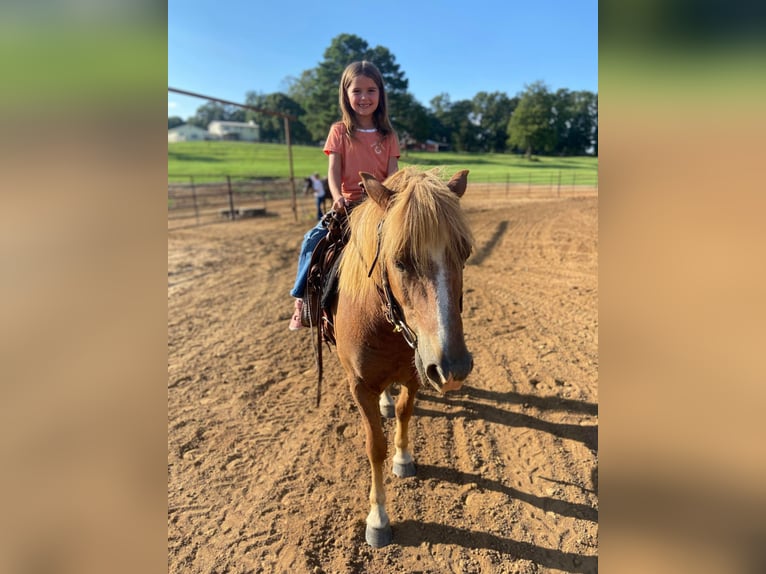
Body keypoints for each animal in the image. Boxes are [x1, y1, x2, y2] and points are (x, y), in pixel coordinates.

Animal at [336, 168, 474, 548]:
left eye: (465, 253)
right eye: (399, 261)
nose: (453, 368)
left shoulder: (415, 375)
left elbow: (403, 414)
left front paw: (403, 457)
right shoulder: (360, 386)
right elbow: (374, 447)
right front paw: (378, 519)